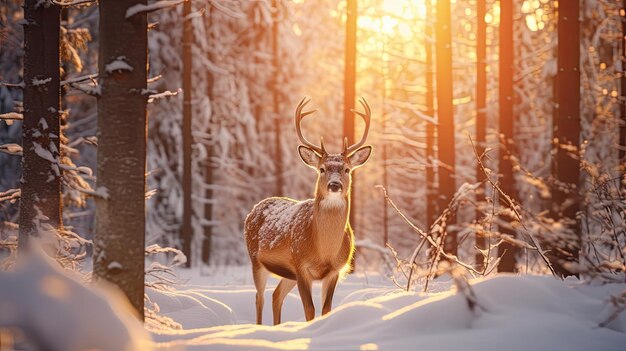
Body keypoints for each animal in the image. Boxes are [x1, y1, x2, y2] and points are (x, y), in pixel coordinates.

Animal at [244, 97, 370, 328]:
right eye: (321, 169)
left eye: (347, 169)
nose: (334, 185)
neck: (324, 252)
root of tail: (255, 208)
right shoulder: (301, 265)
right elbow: (309, 310)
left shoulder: (334, 270)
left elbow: (326, 309)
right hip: (255, 259)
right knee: (260, 297)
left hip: (287, 272)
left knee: (276, 295)